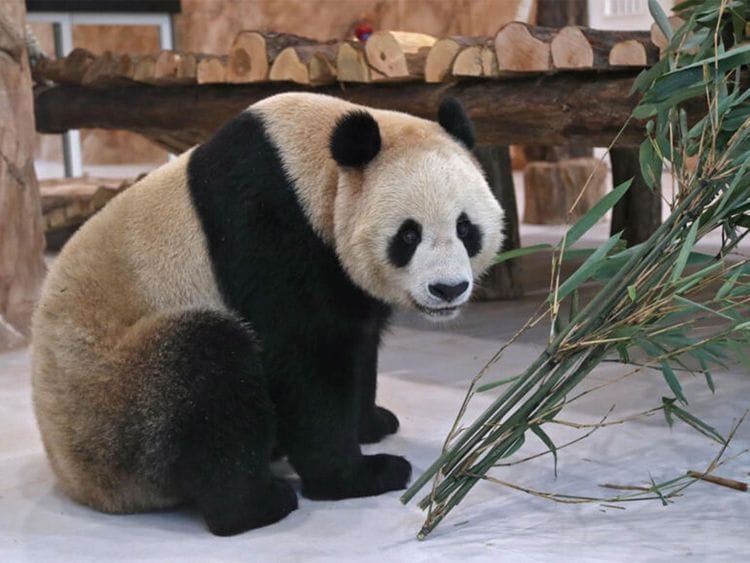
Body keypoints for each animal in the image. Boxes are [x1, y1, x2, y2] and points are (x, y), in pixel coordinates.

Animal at [31, 92, 504, 536]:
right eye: (408, 235)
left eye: (465, 227)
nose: (448, 289)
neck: (311, 170)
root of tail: (74, 479)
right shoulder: (266, 226)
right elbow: (304, 357)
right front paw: (357, 475)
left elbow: (357, 338)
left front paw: (371, 423)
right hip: (116, 401)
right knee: (205, 373)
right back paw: (257, 505)